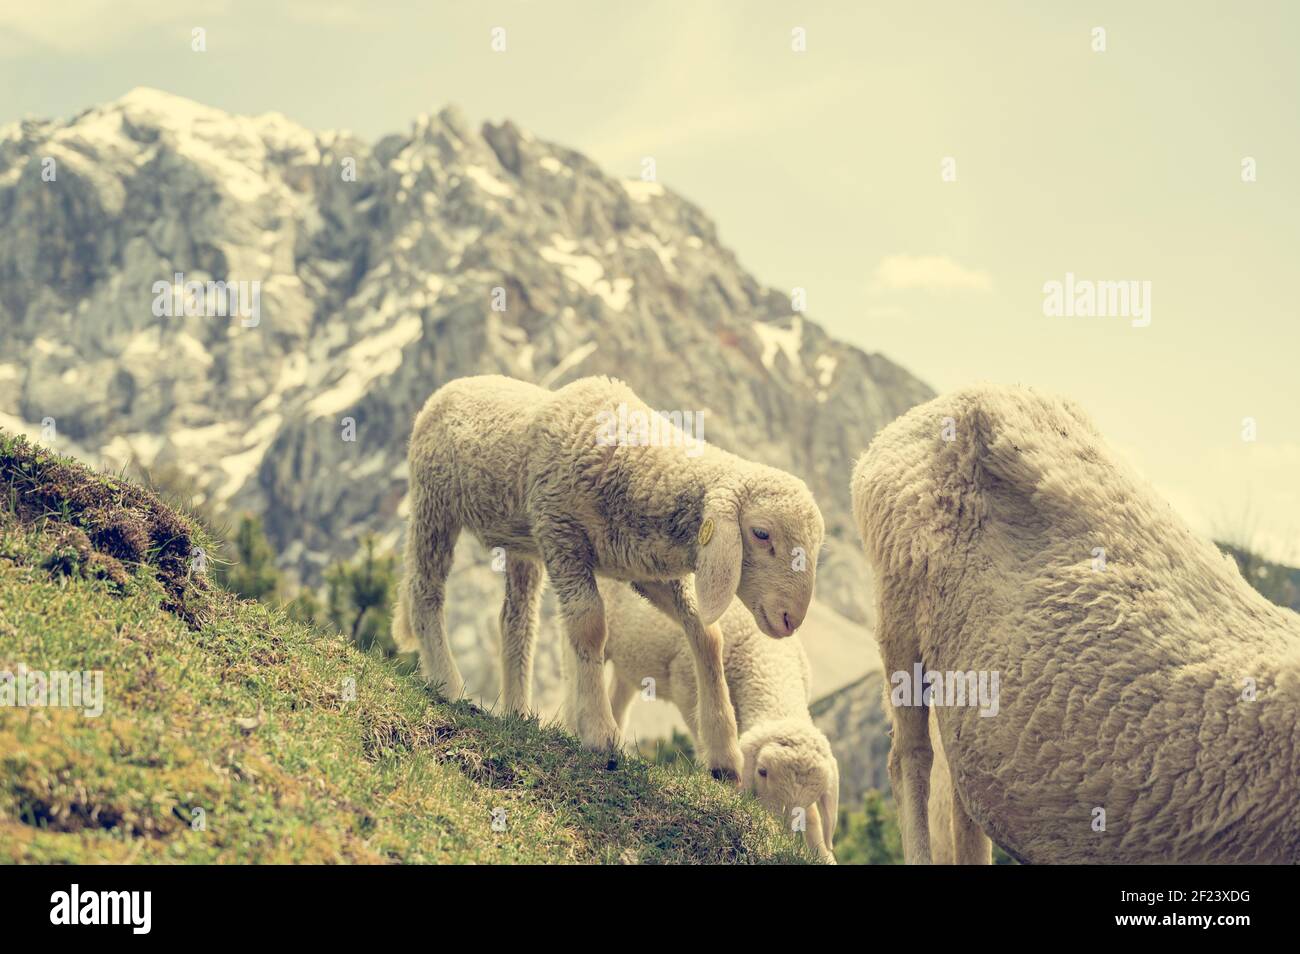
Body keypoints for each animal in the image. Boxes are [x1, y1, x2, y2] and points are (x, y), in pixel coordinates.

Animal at [393, 374, 825, 781]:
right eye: (762, 534)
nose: (791, 619)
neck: (638, 466)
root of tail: (454, 386)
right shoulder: (562, 534)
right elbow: (589, 627)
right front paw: (600, 733)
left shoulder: (648, 569)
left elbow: (707, 635)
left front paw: (724, 755)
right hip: (434, 501)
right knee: (424, 591)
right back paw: (447, 682)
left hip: (520, 543)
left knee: (517, 621)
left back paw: (517, 711)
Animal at [576, 581, 839, 860]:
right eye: (762, 771)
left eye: (816, 793)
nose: (780, 834)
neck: (763, 654)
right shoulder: (688, 686)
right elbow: (704, 735)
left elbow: (814, 819)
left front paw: (822, 853)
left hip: (629, 660)